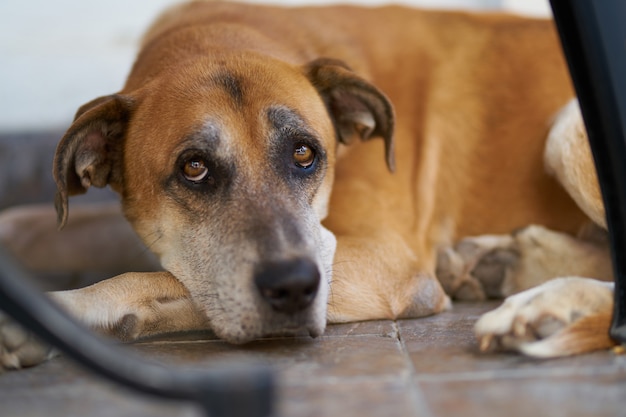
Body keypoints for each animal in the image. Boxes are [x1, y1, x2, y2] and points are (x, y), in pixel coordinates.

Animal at [0, 0, 616, 368]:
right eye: (193, 168)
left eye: (304, 153)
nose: (294, 287)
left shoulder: (385, 261)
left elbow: (162, 281)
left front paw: (58, 315)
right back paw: (504, 263)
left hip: (566, 130)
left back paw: (542, 304)